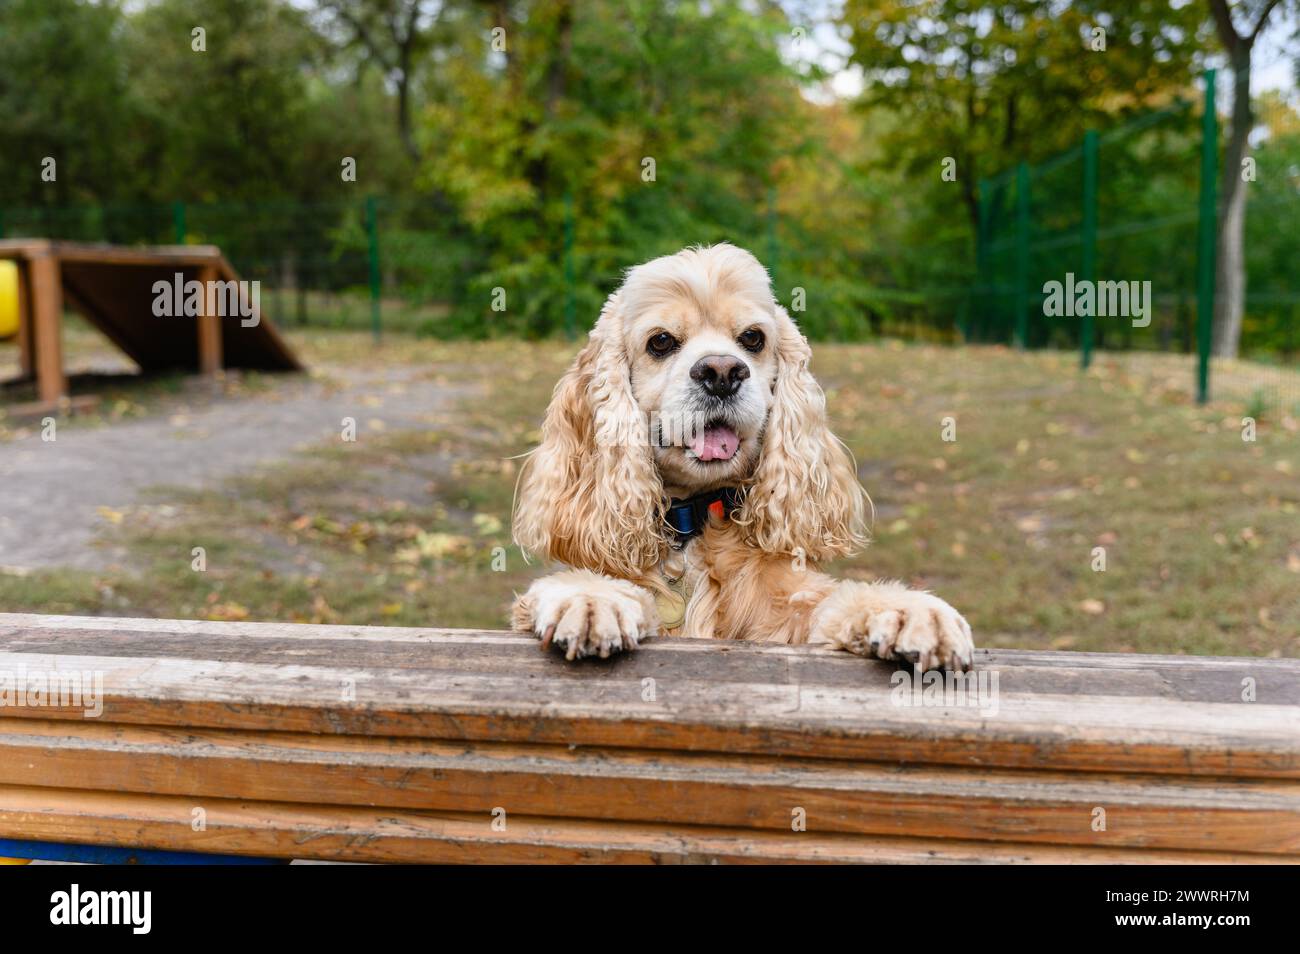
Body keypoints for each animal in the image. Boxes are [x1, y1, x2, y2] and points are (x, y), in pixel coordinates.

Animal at [512, 244, 972, 670]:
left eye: (753, 338)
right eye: (660, 341)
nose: (722, 372)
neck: (692, 525)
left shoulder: (780, 612)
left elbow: (826, 600)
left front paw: (904, 610)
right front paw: (590, 599)